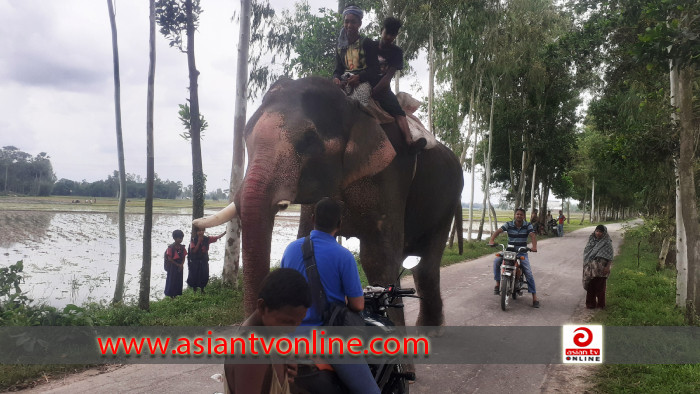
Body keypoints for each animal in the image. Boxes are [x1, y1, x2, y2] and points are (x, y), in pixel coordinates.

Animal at [194, 76, 462, 326]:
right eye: (246, 136)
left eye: (309, 140)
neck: (354, 105)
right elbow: (305, 240)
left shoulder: (391, 176)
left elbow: (377, 261)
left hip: (448, 200)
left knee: (425, 267)